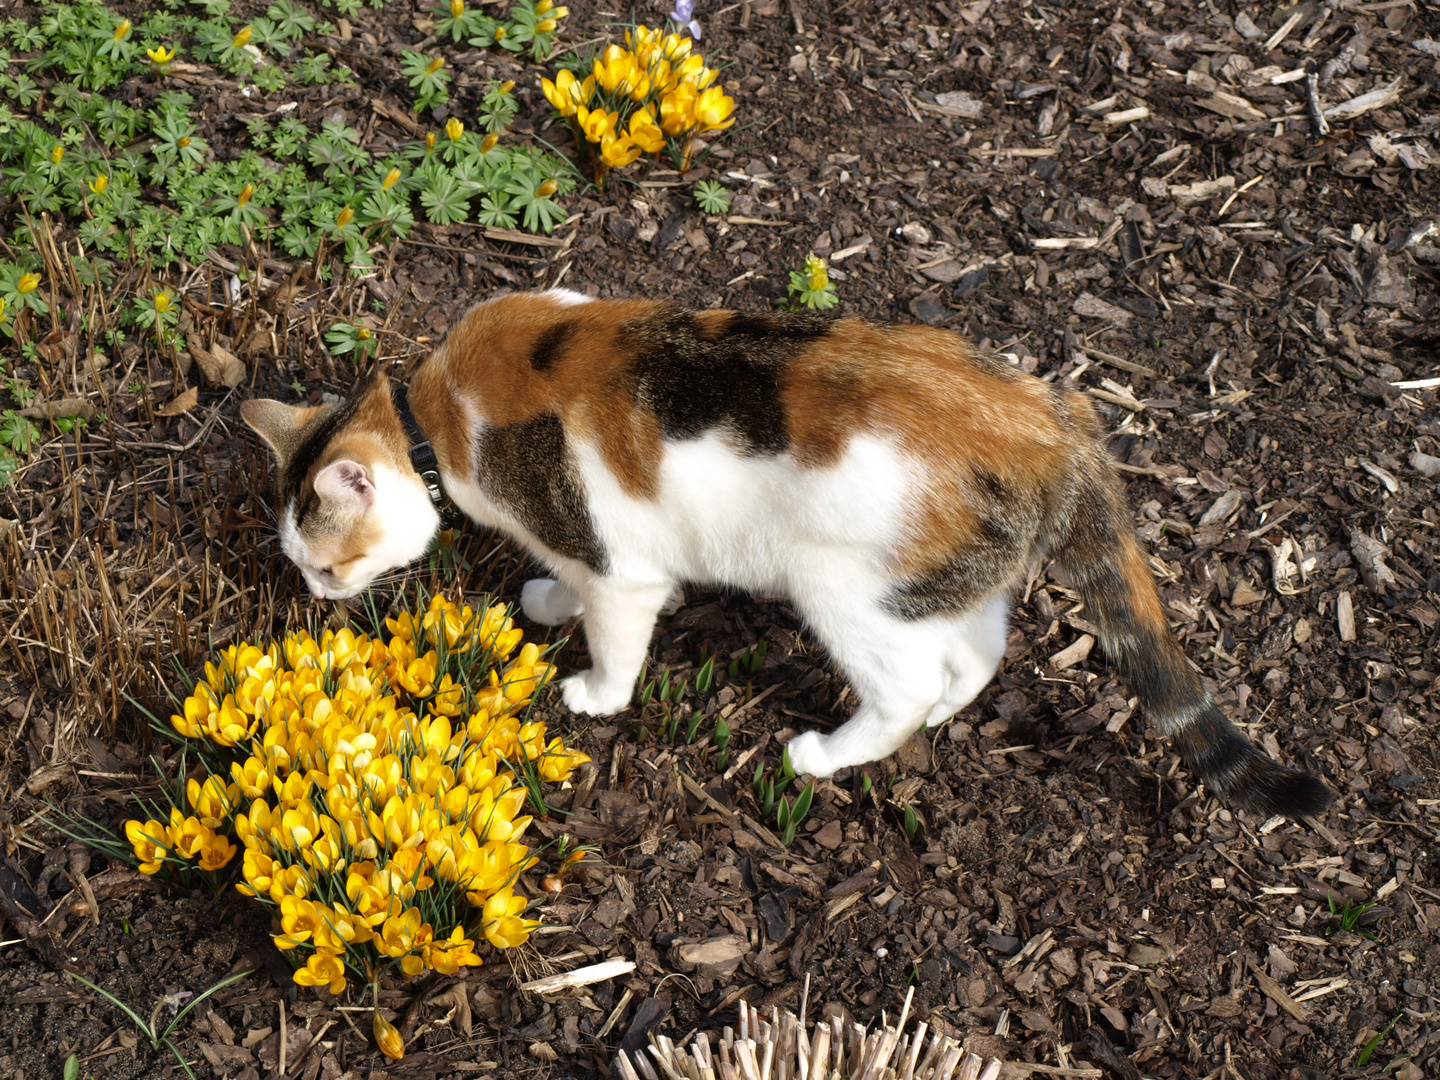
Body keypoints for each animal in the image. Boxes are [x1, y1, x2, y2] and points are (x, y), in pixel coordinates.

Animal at [241, 289, 1330, 817]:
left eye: (327, 565)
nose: (315, 598)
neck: (435, 418)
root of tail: (1045, 421)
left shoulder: (625, 563)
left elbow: (616, 629)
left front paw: (593, 688)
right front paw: (548, 598)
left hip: (837, 582)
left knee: (900, 689)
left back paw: (829, 754)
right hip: (928, 581)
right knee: (974, 655)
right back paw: (943, 711)